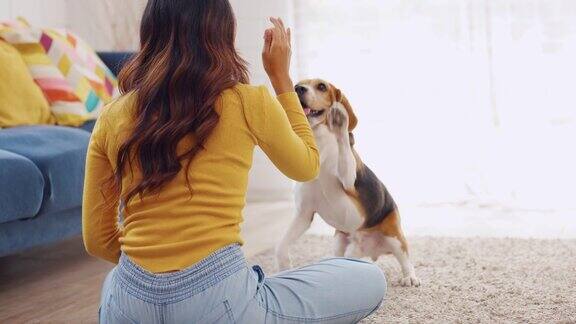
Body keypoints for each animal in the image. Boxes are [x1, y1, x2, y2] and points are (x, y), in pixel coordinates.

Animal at [274, 79, 418, 288]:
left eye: (322, 86)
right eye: (297, 85)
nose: (298, 89)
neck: (319, 146)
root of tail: (370, 250)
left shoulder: (349, 186)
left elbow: (343, 149)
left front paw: (340, 122)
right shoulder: (304, 214)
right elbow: (280, 246)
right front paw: (285, 267)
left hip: (394, 237)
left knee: (405, 258)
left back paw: (410, 277)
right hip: (340, 242)